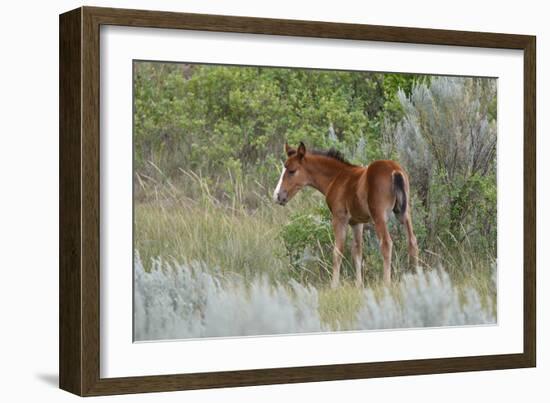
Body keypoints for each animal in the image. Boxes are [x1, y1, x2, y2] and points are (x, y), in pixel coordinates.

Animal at [274, 142, 420, 288]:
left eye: (292, 171)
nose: (277, 196)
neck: (337, 177)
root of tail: (395, 170)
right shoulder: (357, 223)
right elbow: (357, 251)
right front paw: (359, 285)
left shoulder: (339, 218)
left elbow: (337, 251)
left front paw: (334, 286)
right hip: (405, 213)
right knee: (412, 241)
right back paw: (416, 277)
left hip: (379, 216)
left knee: (386, 244)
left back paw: (386, 283)